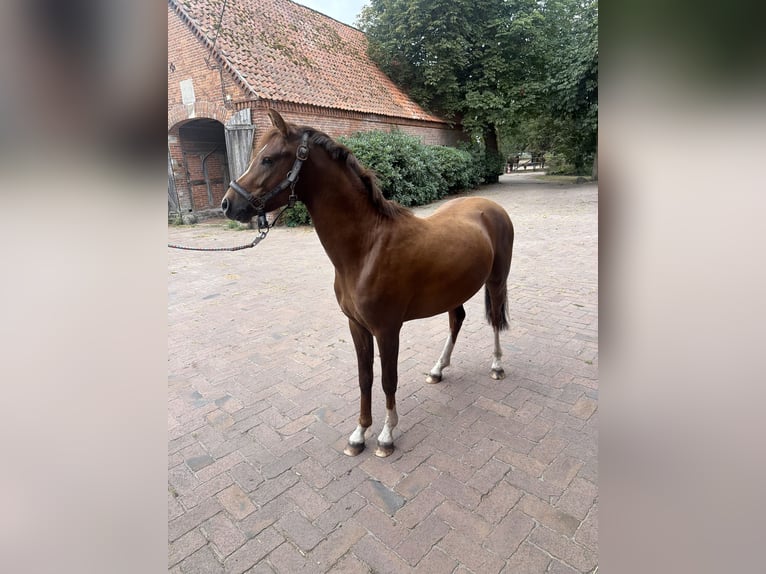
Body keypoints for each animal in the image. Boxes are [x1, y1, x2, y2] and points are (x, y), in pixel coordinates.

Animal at [221, 109, 514, 458]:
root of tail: (491, 207)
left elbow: (388, 379)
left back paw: (497, 366)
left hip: (496, 281)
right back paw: (437, 370)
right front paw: (359, 434)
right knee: (457, 320)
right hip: (453, 292)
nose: (227, 204)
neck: (367, 249)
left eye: (267, 159)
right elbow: (365, 378)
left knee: (494, 319)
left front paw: (387, 436)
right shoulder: (357, 326)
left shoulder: (387, 329)